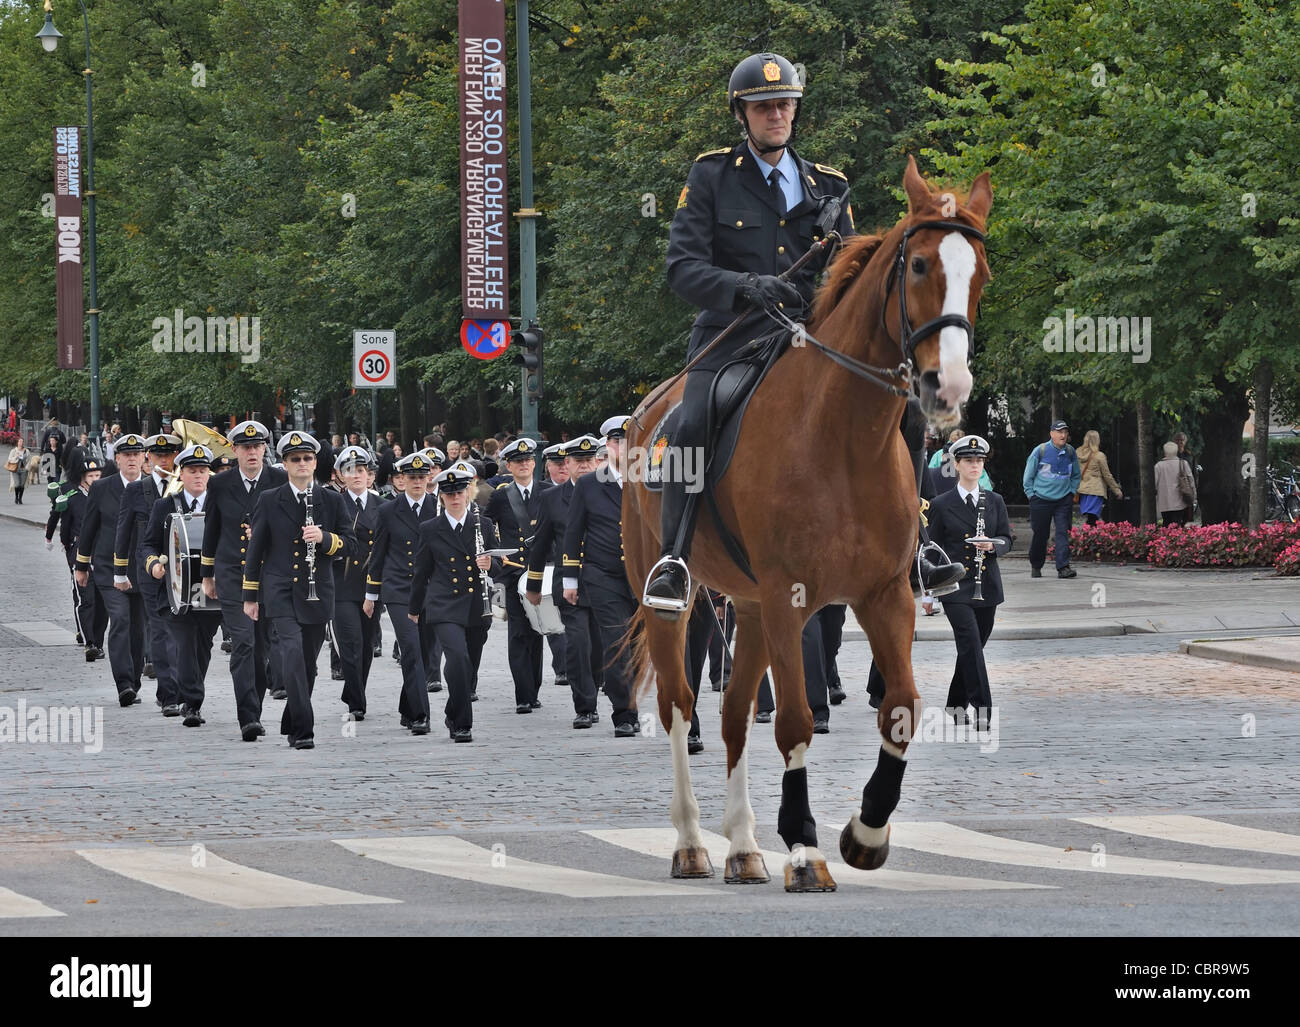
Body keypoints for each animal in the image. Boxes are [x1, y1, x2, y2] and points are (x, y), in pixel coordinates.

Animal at [624, 158, 987, 894]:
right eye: (920, 265)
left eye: (981, 274)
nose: (949, 386)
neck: (842, 436)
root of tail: (649, 411)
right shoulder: (789, 596)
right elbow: (793, 720)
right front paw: (803, 845)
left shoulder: (886, 595)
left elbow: (902, 707)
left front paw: (866, 832)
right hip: (676, 599)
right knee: (680, 706)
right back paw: (692, 841)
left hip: (749, 604)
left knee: (733, 712)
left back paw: (741, 846)